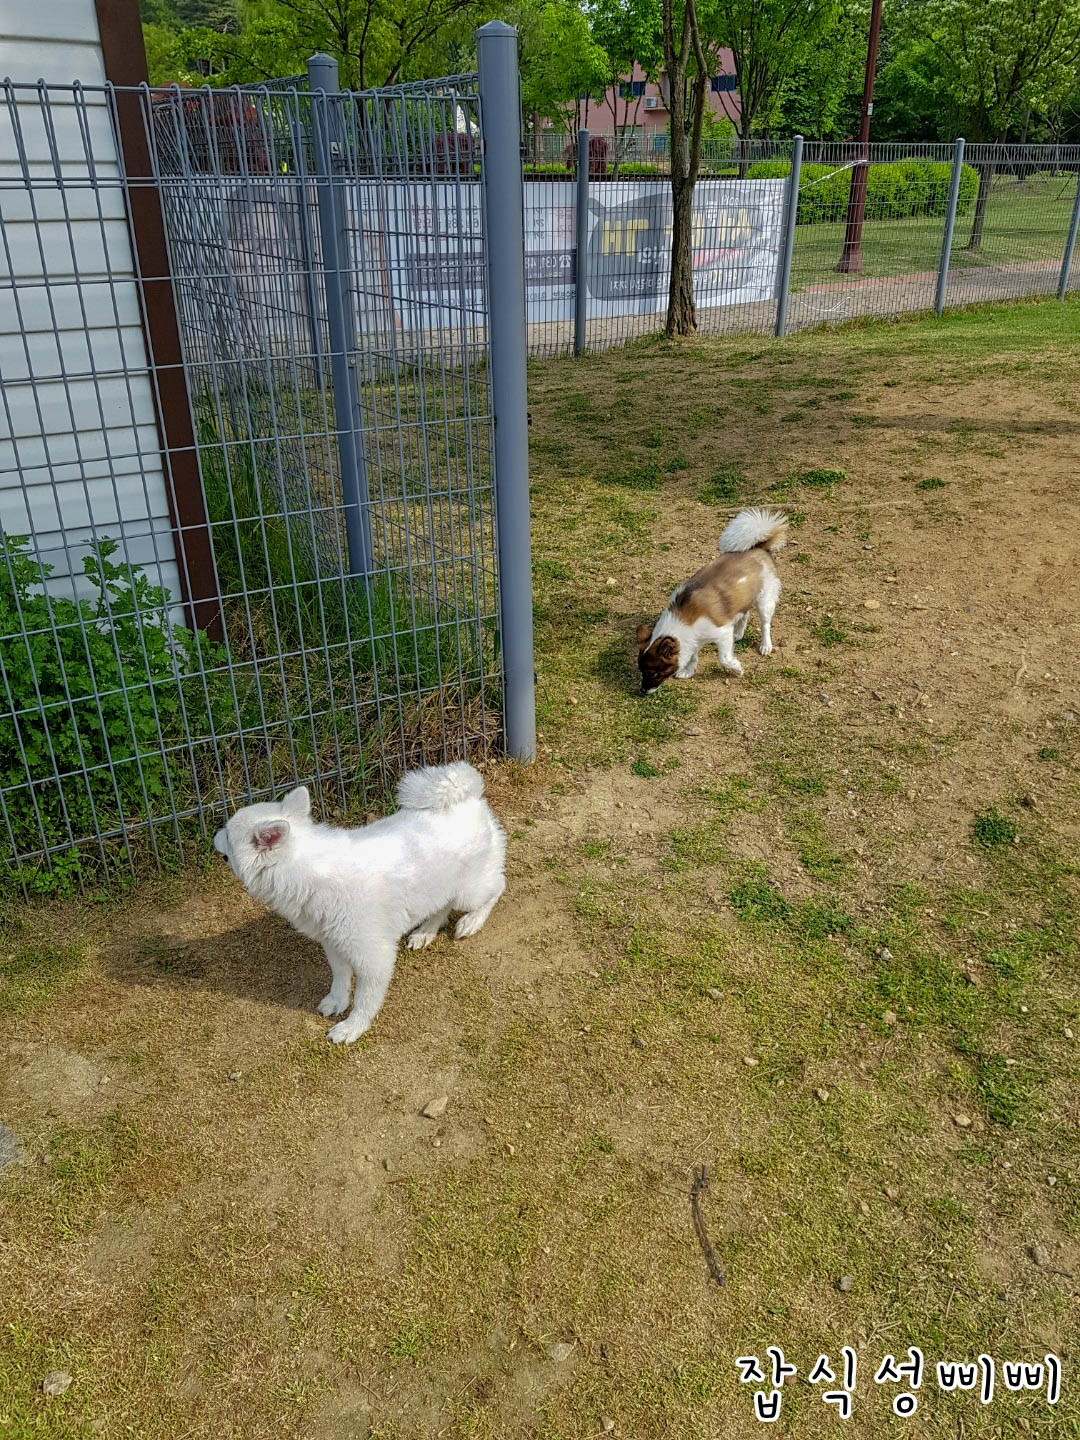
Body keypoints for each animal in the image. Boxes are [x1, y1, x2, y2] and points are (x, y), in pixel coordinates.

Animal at [213, 761, 506, 1043]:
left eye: (227, 834)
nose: (215, 833)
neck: (308, 871)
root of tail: (470, 796)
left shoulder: (375, 957)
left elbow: (366, 1000)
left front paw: (353, 1027)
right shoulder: (333, 943)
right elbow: (340, 977)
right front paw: (337, 1001)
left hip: (469, 891)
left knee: (498, 885)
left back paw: (472, 922)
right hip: (440, 887)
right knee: (442, 906)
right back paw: (426, 932)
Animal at [636, 508, 788, 695]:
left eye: (654, 673)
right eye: (641, 671)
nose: (642, 691)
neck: (683, 619)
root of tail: (759, 547)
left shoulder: (722, 633)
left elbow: (724, 658)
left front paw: (737, 668)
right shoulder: (695, 639)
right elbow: (693, 656)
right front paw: (688, 671)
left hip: (764, 600)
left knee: (765, 624)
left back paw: (765, 645)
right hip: (743, 599)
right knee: (744, 615)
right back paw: (738, 634)